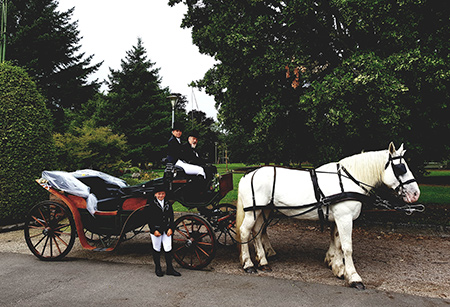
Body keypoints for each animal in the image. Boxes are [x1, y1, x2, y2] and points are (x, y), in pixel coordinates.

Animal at [237, 143, 420, 290]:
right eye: (401, 168)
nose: (416, 194)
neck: (348, 180)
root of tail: (248, 175)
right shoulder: (345, 218)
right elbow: (347, 247)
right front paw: (353, 276)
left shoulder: (338, 218)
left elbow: (337, 242)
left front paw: (337, 266)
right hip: (253, 211)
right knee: (245, 231)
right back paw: (248, 264)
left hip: (263, 210)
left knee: (257, 232)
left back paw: (263, 261)